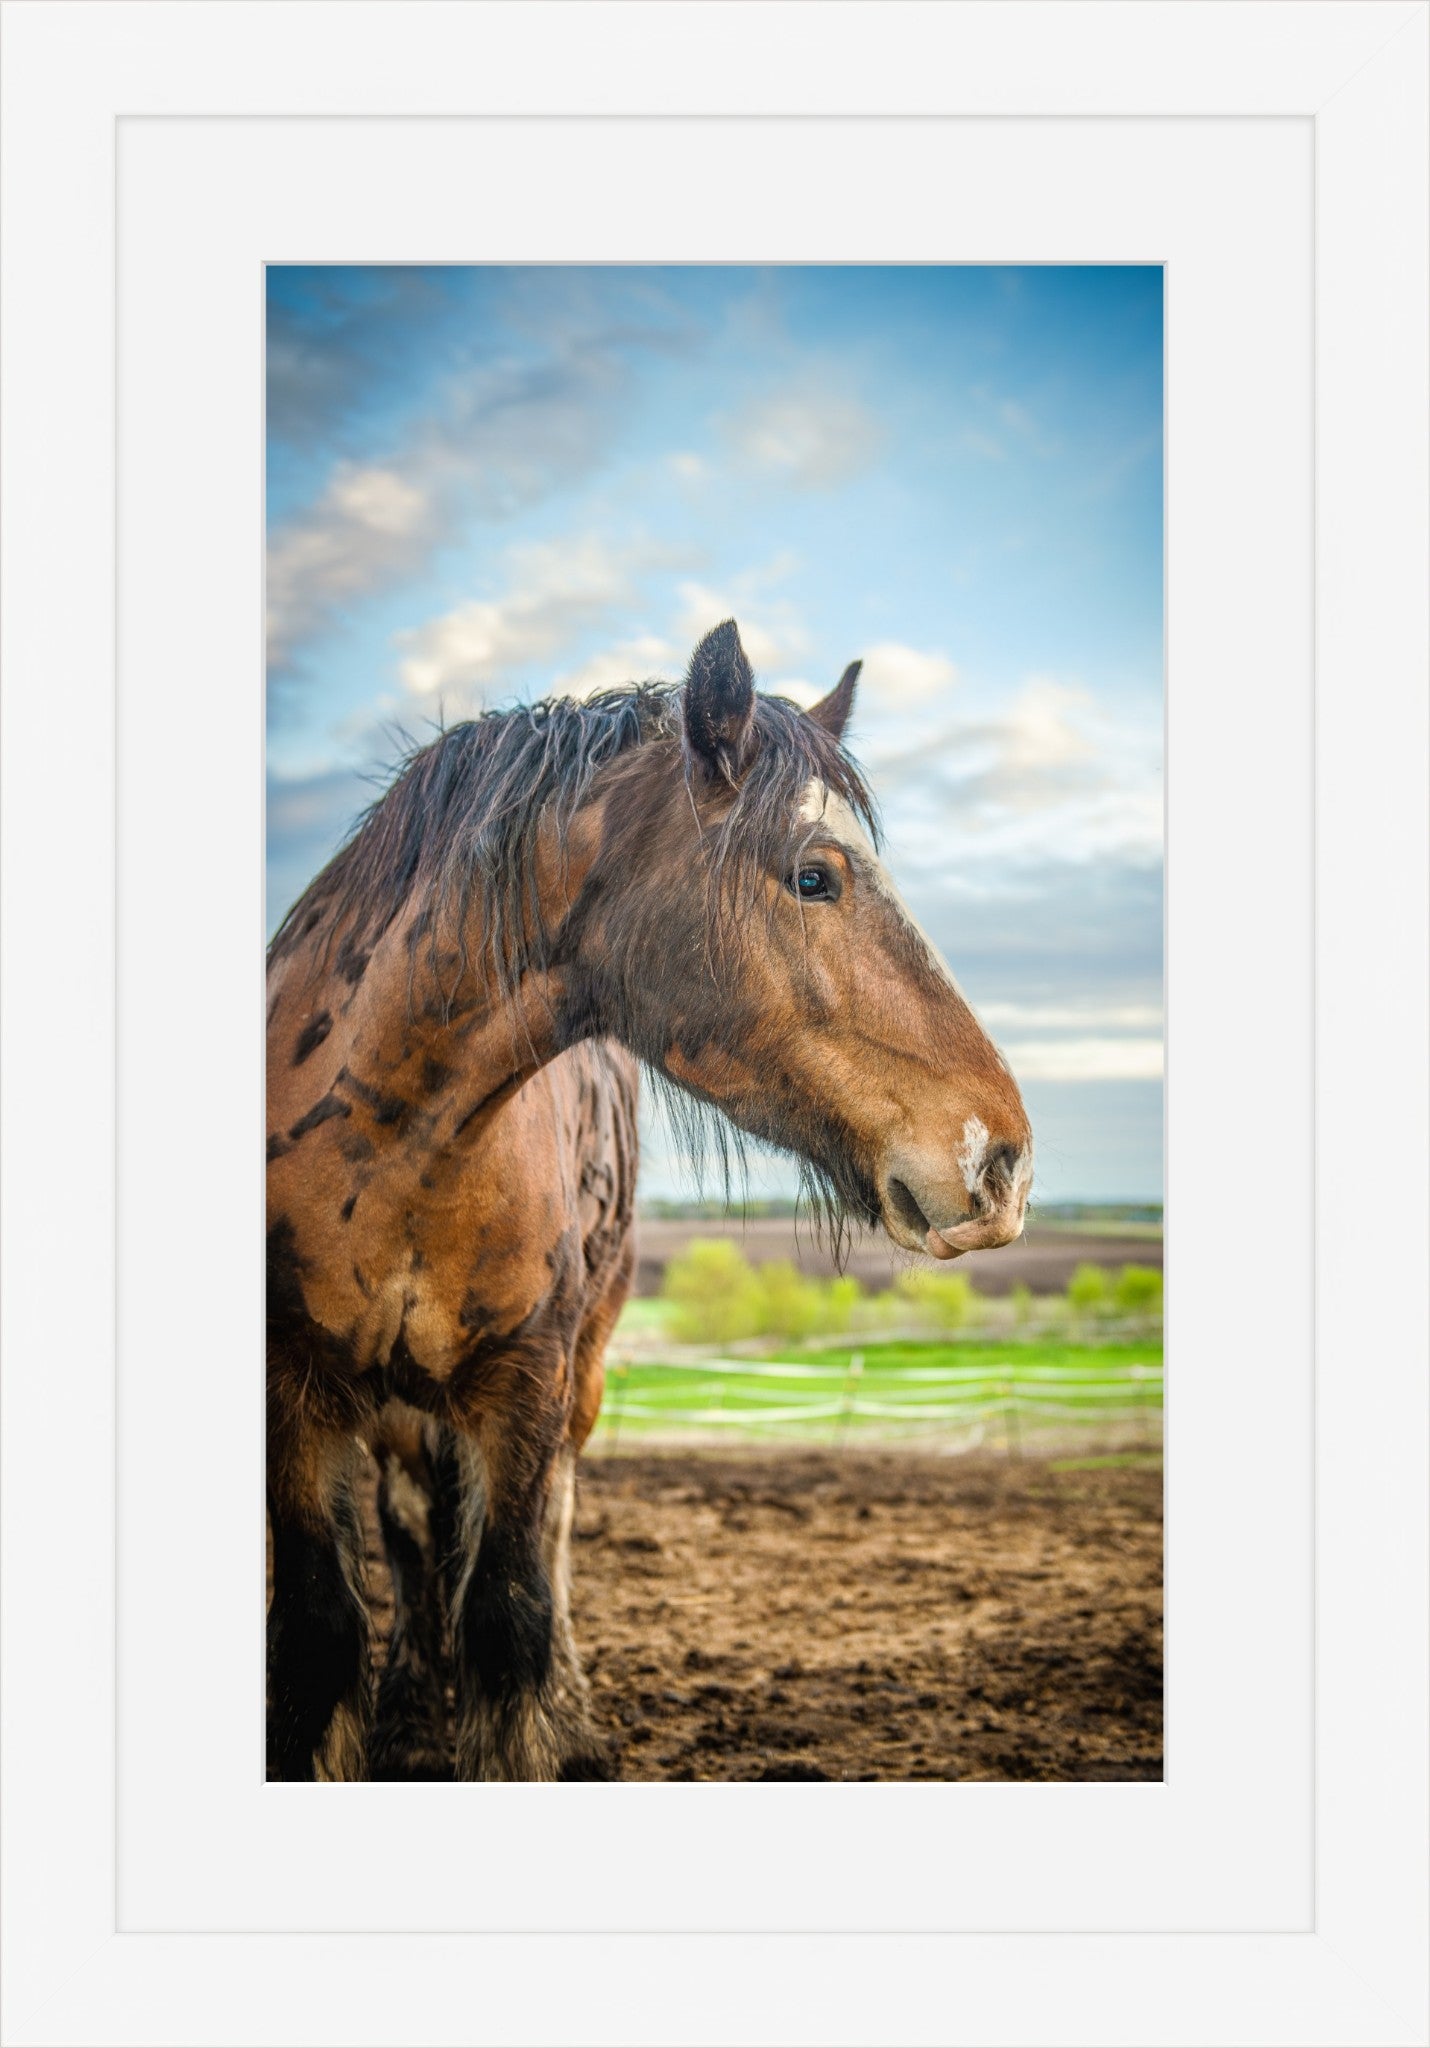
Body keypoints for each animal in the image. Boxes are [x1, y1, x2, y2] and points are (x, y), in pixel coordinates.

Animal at [264, 618, 1024, 1777]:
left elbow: (511, 1615)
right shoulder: (295, 1396)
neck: (392, 1142)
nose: (1003, 1158)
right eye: (814, 875)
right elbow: (322, 1636)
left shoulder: (523, 1384)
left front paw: (543, 1727)